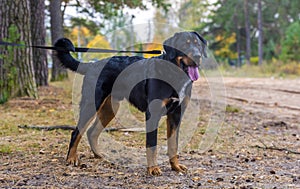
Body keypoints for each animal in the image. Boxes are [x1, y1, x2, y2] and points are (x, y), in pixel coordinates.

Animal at [54, 31, 206, 176]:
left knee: (92, 132)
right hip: (92, 104)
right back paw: (71, 158)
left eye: (197, 44)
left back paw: (99, 155)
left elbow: (173, 144)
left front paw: (175, 166)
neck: (174, 74)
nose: (198, 56)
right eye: (185, 44)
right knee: (76, 132)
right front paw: (153, 169)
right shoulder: (153, 114)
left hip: (110, 109)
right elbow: (152, 145)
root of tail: (93, 64)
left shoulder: (176, 114)